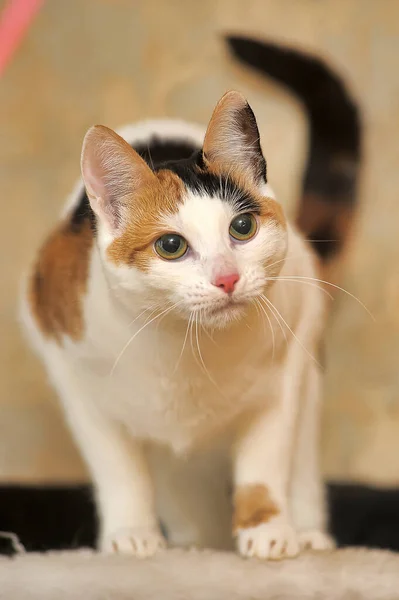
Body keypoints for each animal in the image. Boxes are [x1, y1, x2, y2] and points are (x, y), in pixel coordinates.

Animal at [20, 39, 360, 560]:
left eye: (242, 227)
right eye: (170, 246)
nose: (227, 278)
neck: (188, 348)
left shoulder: (283, 372)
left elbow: (265, 460)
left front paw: (267, 527)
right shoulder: (68, 364)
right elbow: (117, 467)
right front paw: (131, 532)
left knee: (299, 459)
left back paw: (306, 532)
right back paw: (195, 542)